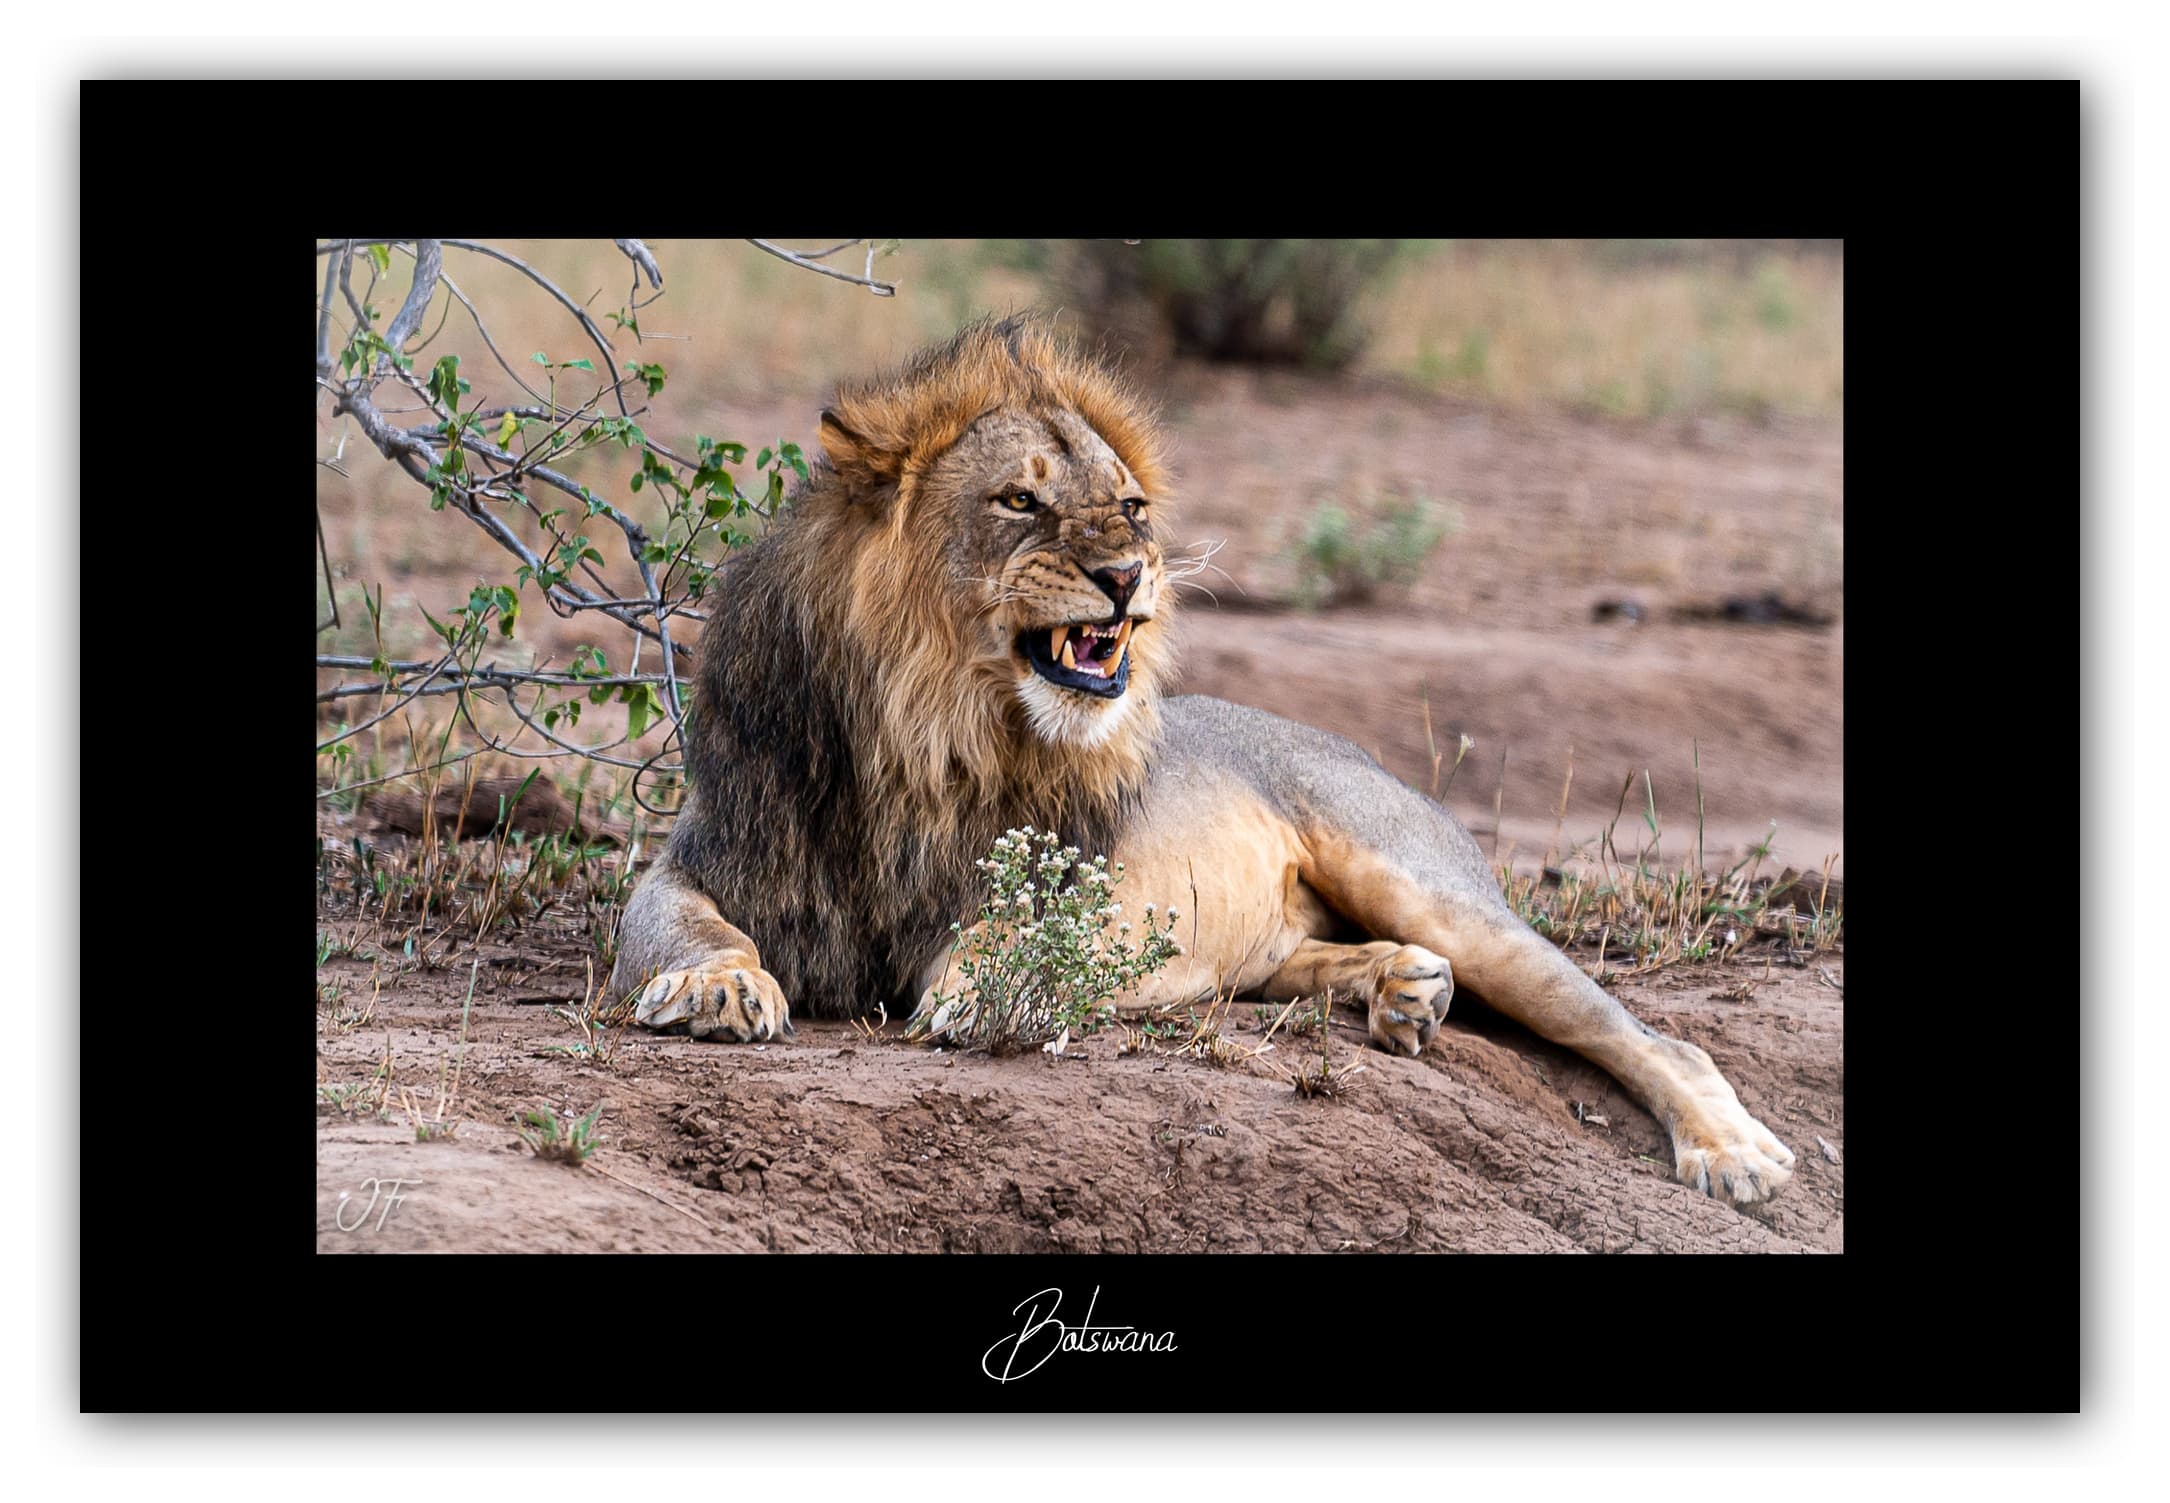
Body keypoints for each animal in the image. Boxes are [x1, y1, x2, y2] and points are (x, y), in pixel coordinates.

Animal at [610, 315, 1797, 1209]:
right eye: (1020, 500)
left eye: (1129, 505)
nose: (1129, 573)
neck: (926, 730)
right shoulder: (711, 851)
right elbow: (676, 920)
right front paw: (717, 984)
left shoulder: (1066, 879)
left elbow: (1004, 936)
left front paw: (979, 988)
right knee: (1297, 959)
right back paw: (1400, 993)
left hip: (1433, 888)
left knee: (1651, 1036)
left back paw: (1731, 1155)